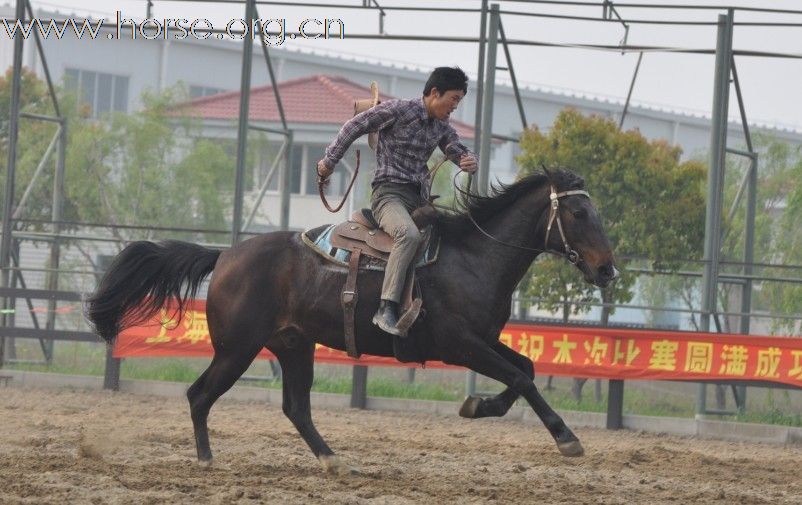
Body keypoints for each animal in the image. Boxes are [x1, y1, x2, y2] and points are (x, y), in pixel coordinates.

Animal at [86, 168, 612, 472]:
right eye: (578, 211)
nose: (607, 269)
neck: (474, 257)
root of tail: (227, 254)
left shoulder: (483, 340)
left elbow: (525, 369)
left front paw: (477, 405)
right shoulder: (460, 345)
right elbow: (521, 379)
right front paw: (567, 439)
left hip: (293, 346)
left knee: (295, 407)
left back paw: (331, 459)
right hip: (237, 350)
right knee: (200, 395)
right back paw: (206, 458)